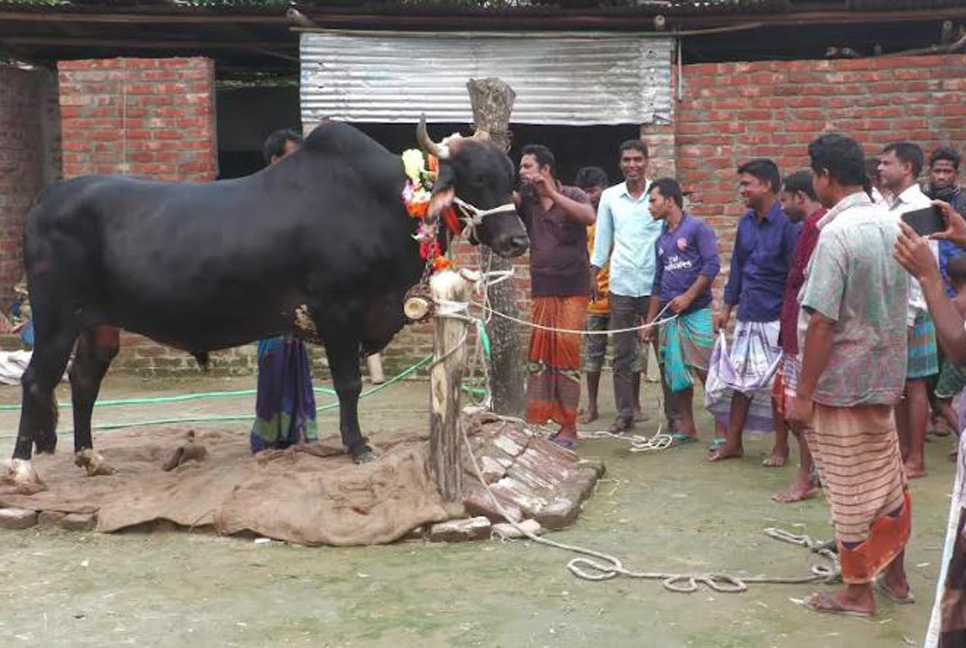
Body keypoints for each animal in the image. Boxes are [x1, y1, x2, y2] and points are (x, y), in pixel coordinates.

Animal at [5, 120, 528, 492]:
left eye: (510, 178)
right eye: (478, 178)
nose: (517, 240)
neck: (384, 202)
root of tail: (49, 196)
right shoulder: (337, 309)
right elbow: (349, 383)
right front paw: (358, 446)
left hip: (98, 325)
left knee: (83, 379)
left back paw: (90, 457)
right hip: (55, 319)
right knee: (37, 380)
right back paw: (22, 469)